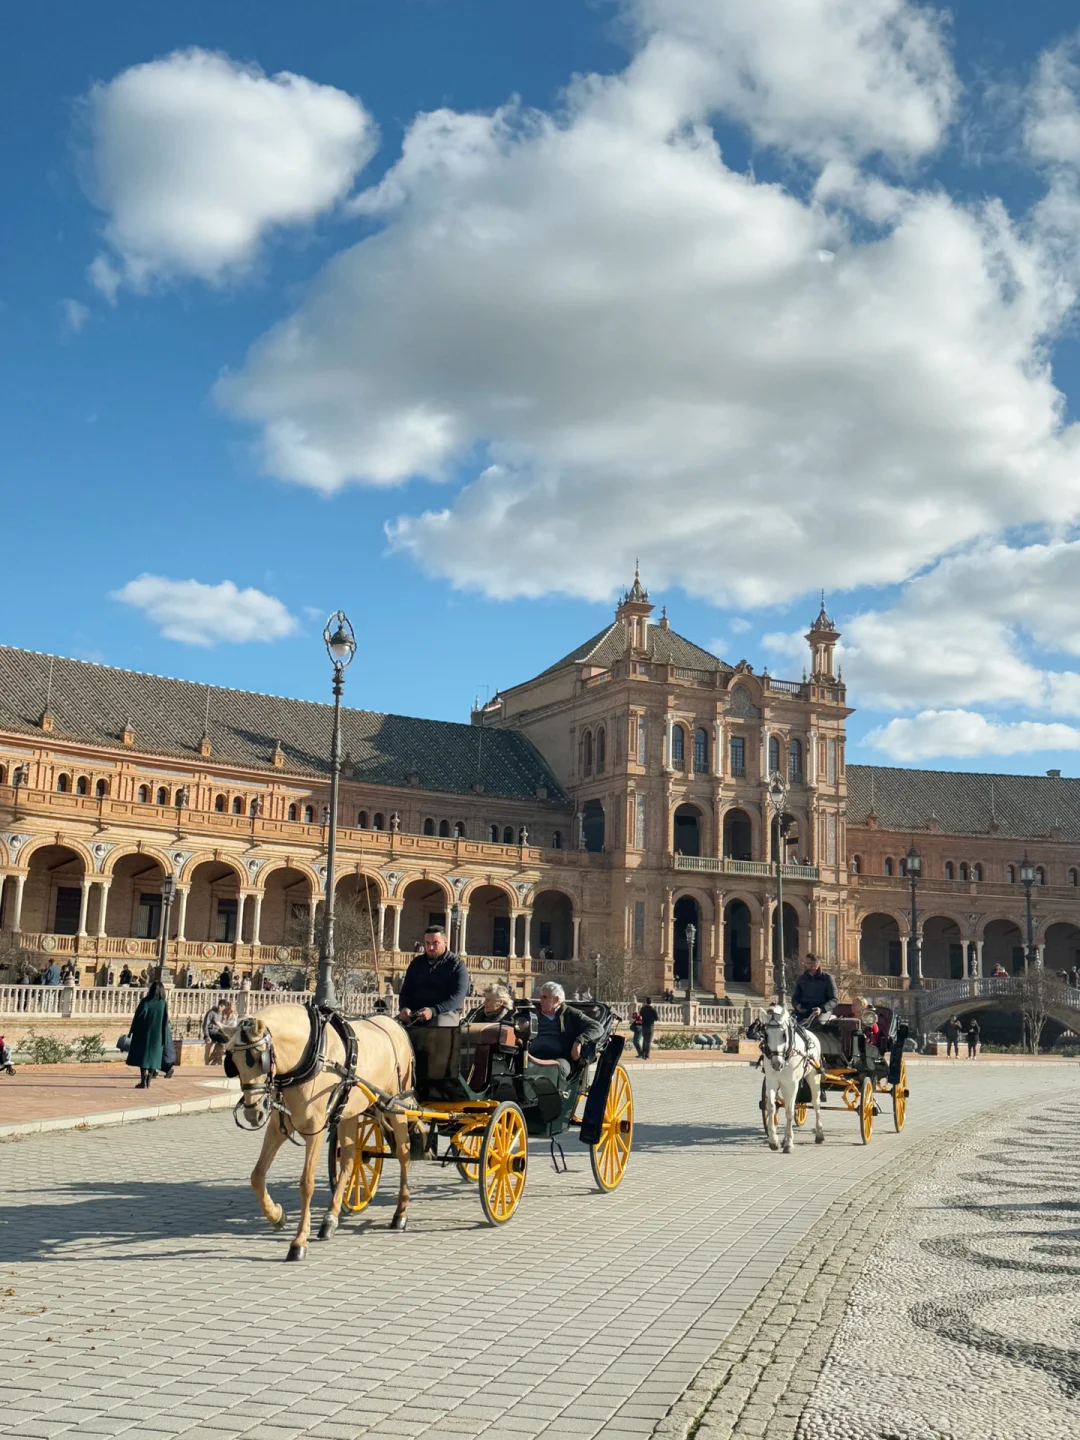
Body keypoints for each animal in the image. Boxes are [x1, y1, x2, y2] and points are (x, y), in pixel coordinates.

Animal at [223, 1002, 414, 1261]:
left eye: (257, 1057)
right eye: (232, 1061)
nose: (254, 1113)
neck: (310, 1053)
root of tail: (395, 1023)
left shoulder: (315, 1129)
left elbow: (307, 1183)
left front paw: (299, 1241)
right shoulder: (278, 1127)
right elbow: (257, 1176)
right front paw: (276, 1216)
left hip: (397, 1103)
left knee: (404, 1153)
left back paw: (400, 1211)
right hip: (349, 1112)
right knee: (350, 1161)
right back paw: (330, 1218)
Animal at [754, 1008, 823, 1152]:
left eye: (784, 1035)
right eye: (766, 1034)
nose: (777, 1064)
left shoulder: (792, 1084)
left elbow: (790, 1111)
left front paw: (789, 1143)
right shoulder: (771, 1082)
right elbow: (771, 1107)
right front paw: (774, 1140)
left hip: (813, 1075)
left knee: (816, 1103)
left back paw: (819, 1133)